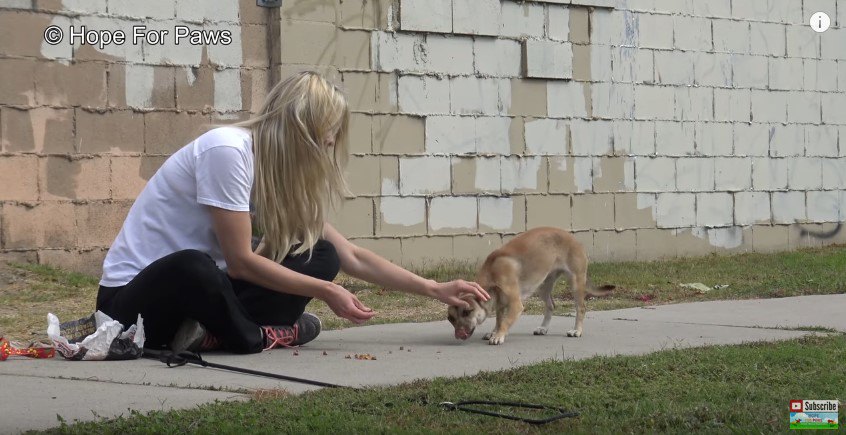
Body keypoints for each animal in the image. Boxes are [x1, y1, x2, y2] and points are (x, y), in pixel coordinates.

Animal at [450, 227, 616, 346]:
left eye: (467, 312)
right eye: (451, 319)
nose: (458, 335)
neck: (492, 274)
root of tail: (574, 238)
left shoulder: (516, 305)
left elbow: (505, 321)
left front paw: (498, 336)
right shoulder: (500, 304)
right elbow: (499, 320)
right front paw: (494, 332)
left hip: (575, 282)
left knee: (581, 308)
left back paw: (576, 331)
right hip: (542, 285)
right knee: (551, 305)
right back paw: (543, 328)